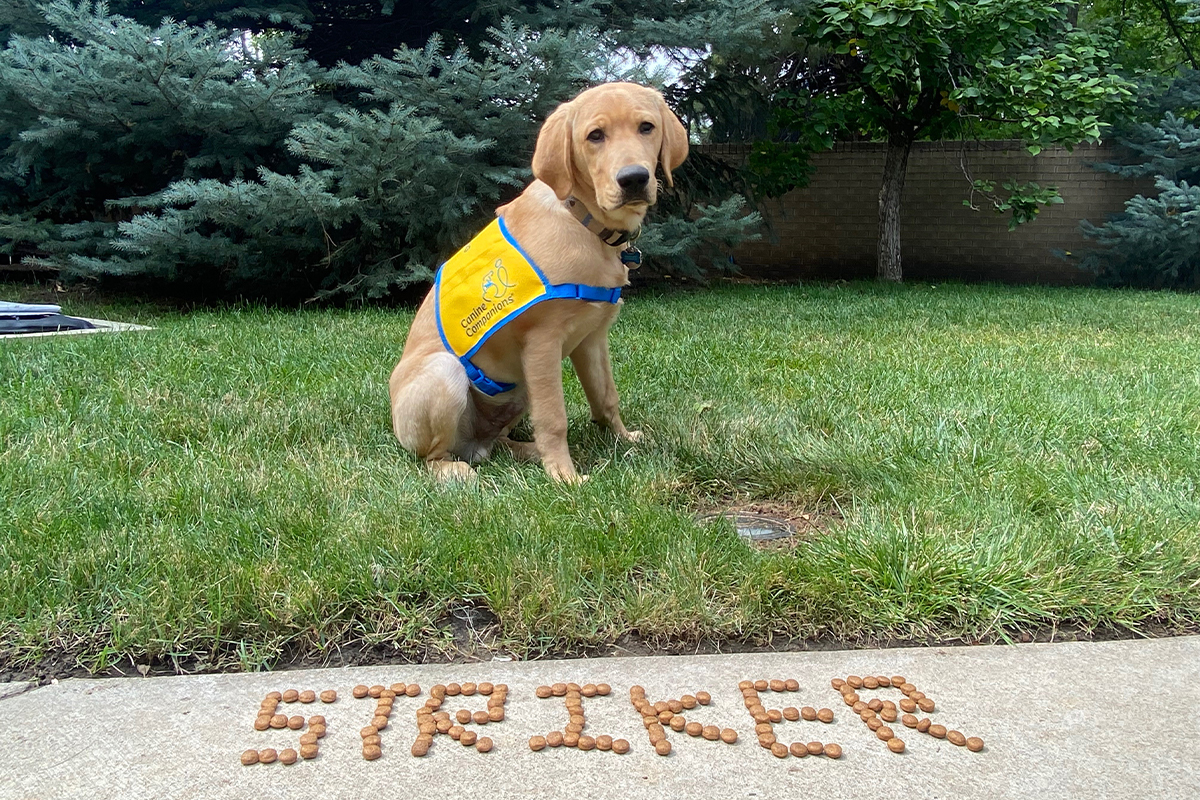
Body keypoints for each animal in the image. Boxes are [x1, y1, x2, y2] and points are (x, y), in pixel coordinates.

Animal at [384, 82, 686, 482]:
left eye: (646, 127)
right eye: (595, 135)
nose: (634, 178)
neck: (583, 220)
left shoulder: (592, 337)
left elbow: (605, 396)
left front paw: (623, 438)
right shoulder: (542, 342)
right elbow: (554, 417)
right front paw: (564, 477)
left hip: (519, 389)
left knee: (496, 445)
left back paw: (525, 451)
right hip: (446, 373)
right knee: (433, 456)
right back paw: (455, 470)